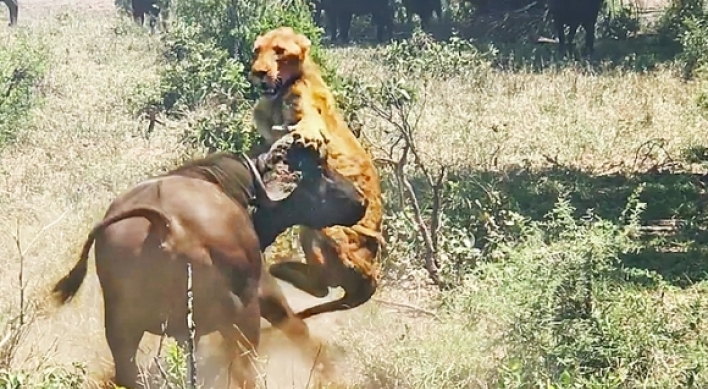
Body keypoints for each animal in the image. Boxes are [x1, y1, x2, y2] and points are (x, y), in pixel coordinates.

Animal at [51, 134, 366, 388]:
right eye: (320, 170)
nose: (360, 200)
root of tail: (165, 225)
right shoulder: (265, 291)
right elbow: (298, 329)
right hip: (242, 319)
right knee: (245, 370)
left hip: (123, 331)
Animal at [248, 25, 382, 322]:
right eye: (257, 50)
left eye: (279, 51)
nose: (258, 72)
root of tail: (374, 272)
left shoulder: (307, 113)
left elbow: (308, 129)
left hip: (324, 225)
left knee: (324, 287)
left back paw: (282, 268)